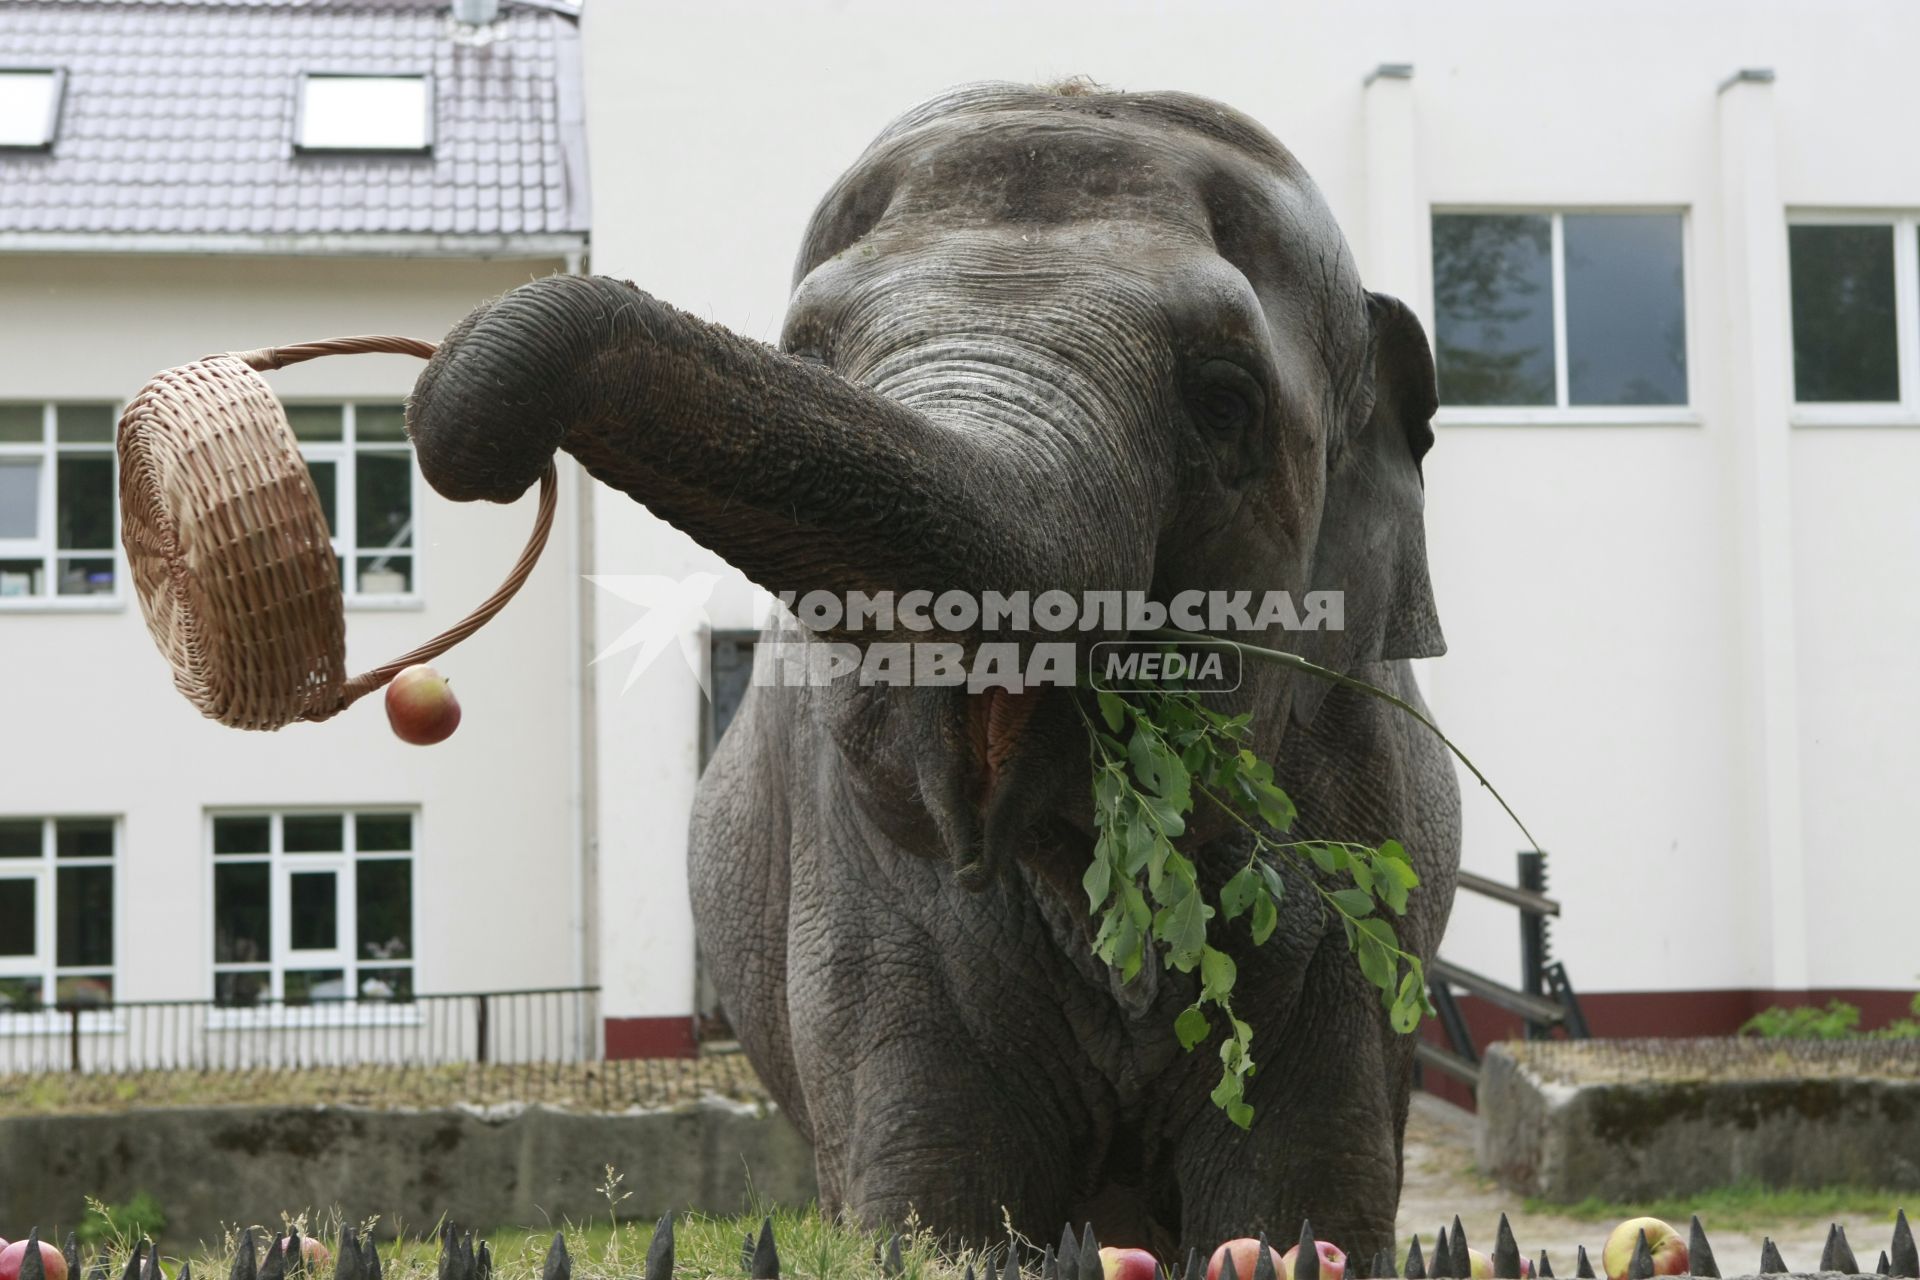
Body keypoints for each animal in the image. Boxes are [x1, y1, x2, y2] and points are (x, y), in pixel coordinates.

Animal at [405, 82, 1451, 1258]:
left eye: (1226, 400)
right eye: (808, 357)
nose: (473, 433)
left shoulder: (1355, 874)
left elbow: (1294, 1198)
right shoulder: (862, 898)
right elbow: (934, 1190)